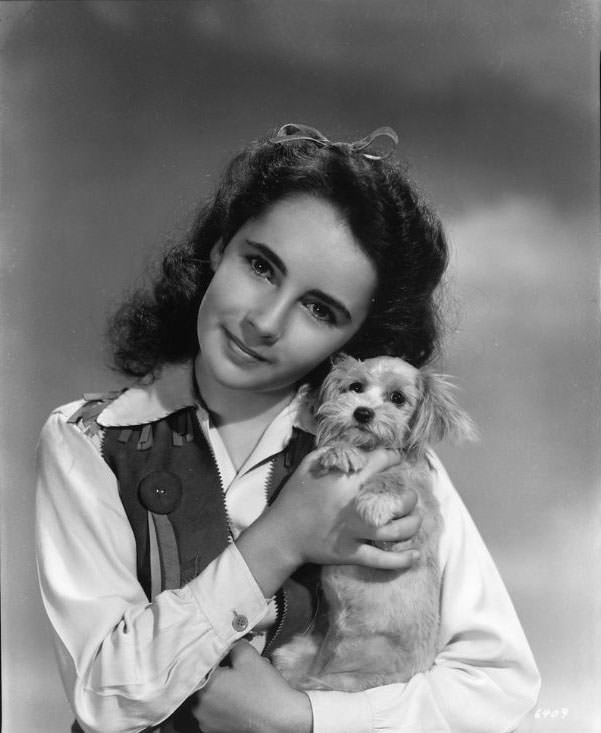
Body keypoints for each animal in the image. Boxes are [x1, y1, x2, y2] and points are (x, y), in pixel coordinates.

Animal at [272, 354, 474, 692]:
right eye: (356, 387)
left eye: (398, 398)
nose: (362, 412)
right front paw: (340, 451)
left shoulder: (411, 530)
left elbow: (397, 482)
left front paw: (377, 499)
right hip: (299, 657)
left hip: (348, 682)